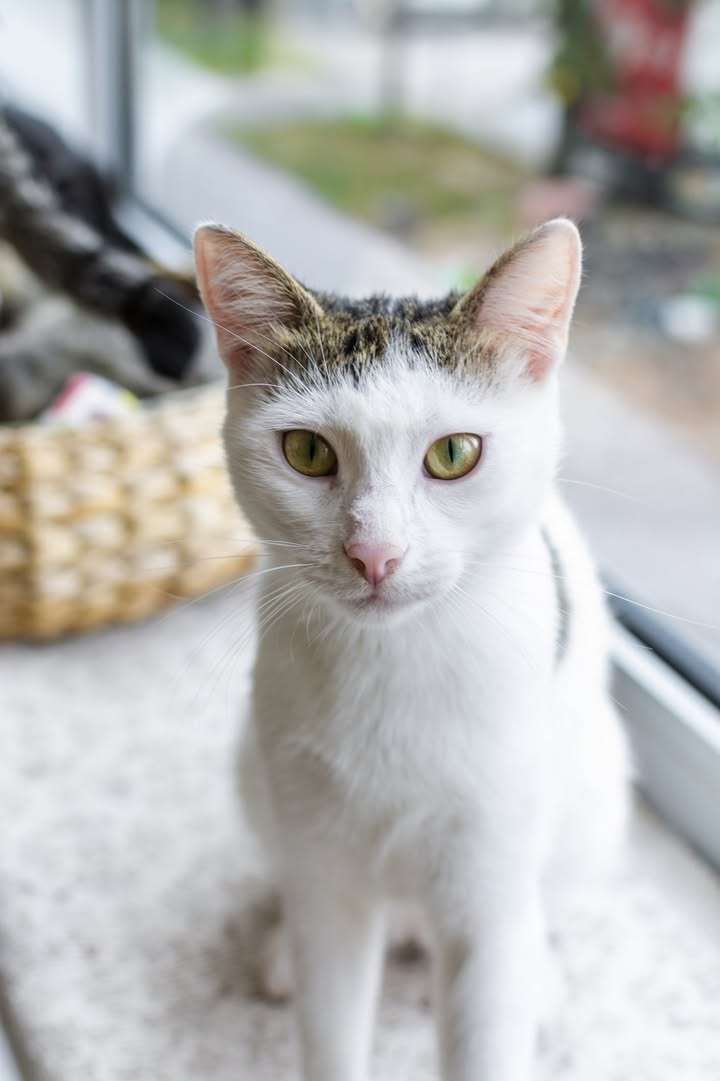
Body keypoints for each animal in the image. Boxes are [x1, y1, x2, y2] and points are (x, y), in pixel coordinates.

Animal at [194, 218, 631, 1081]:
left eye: (455, 453)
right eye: (307, 451)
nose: (375, 554)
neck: (393, 659)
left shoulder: (487, 876)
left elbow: (488, 1013)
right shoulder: (324, 866)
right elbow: (331, 1023)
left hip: (590, 792)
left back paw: (539, 973)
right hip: (259, 769)